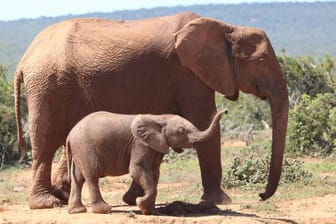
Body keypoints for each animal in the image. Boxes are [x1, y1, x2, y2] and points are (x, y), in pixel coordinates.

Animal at [66, 109, 227, 214]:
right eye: (181, 131)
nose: (225, 111)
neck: (160, 118)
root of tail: (69, 134)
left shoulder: (156, 145)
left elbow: (154, 173)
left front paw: (150, 211)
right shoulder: (140, 143)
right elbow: (137, 169)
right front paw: (140, 203)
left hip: (80, 150)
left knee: (78, 178)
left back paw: (77, 211)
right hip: (85, 147)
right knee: (92, 175)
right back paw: (103, 210)